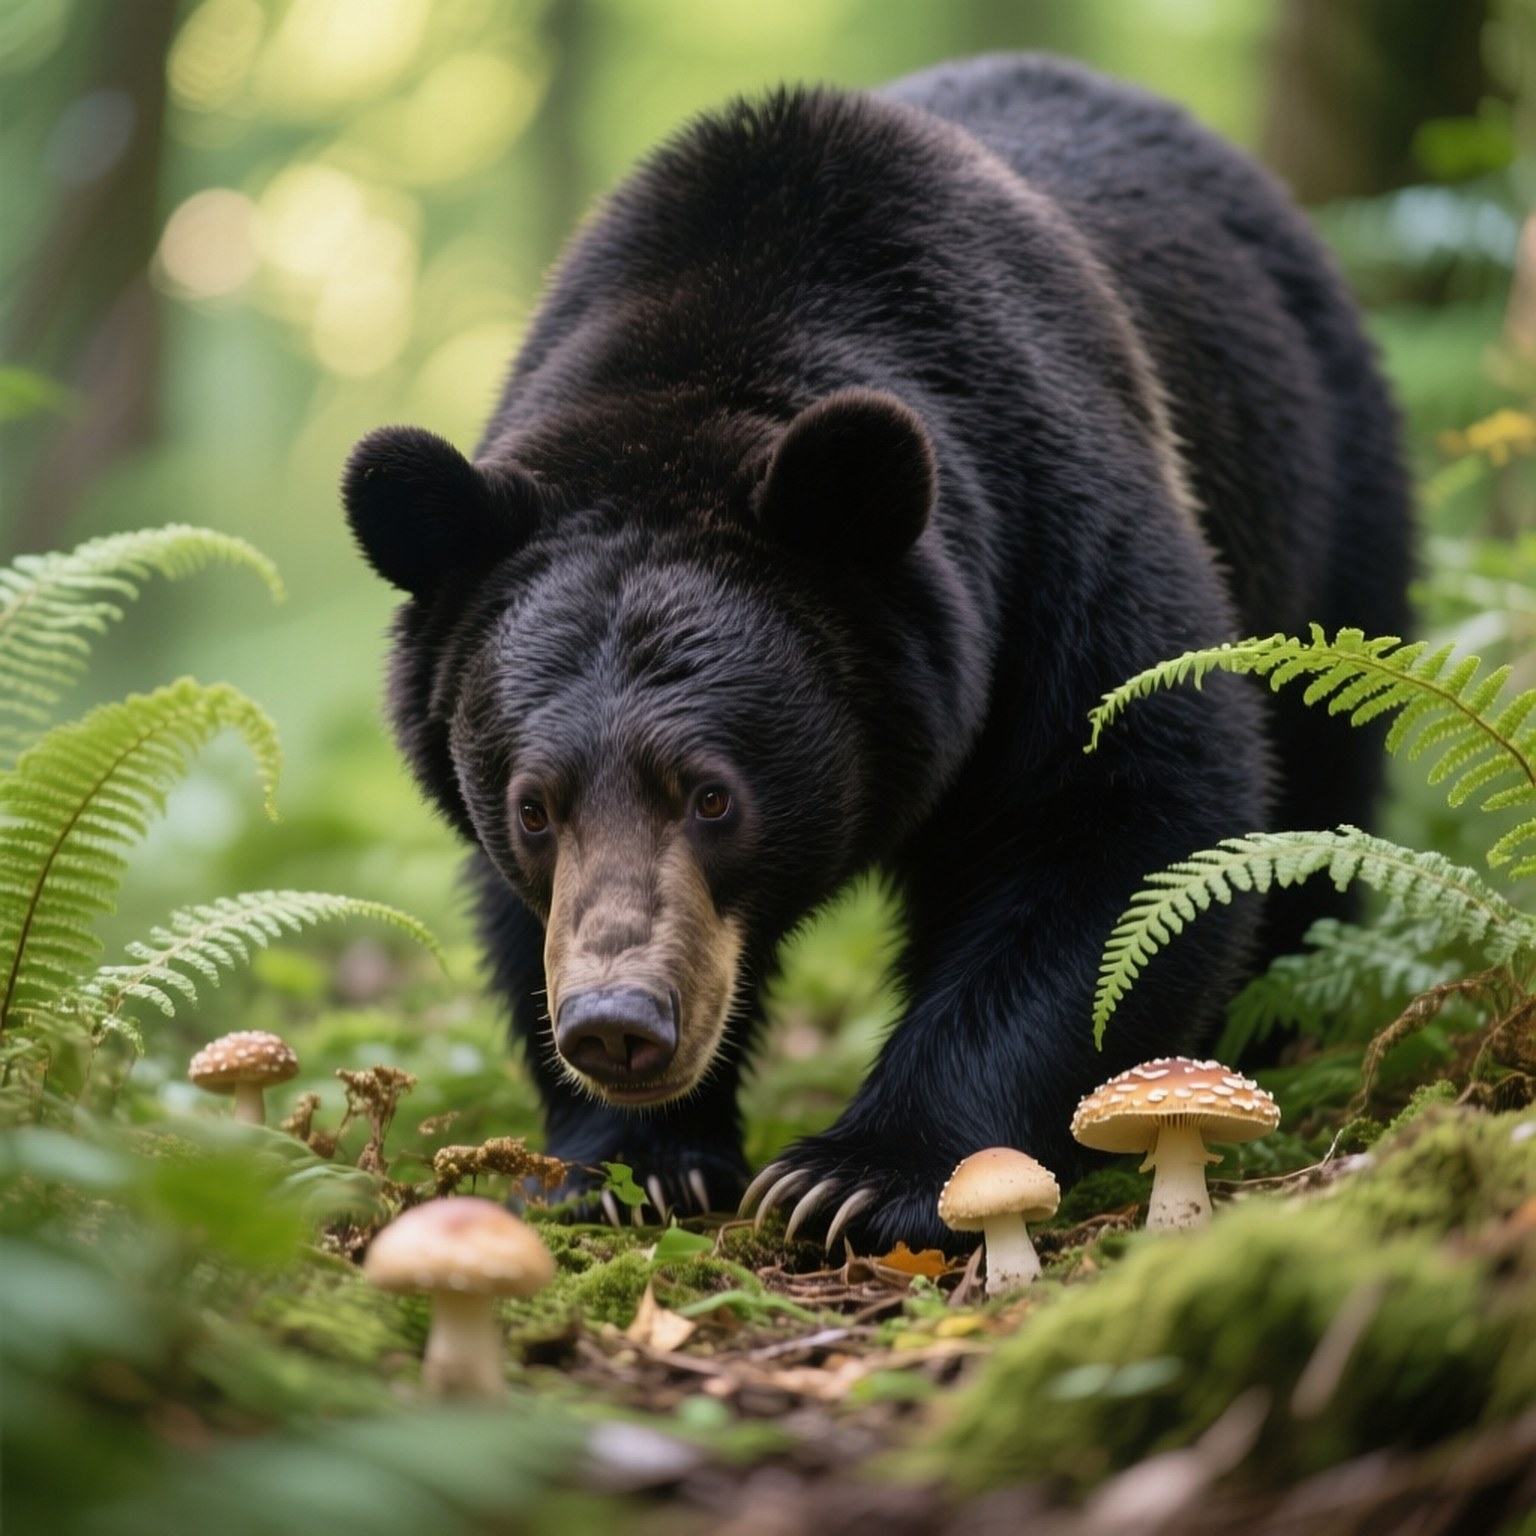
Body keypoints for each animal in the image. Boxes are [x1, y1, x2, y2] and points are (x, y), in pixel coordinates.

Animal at [343, 54, 1410, 1255]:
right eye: (533, 806)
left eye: (712, 795)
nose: (619, 1026)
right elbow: (521, 920)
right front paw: (634, 1163)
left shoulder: (1054, 539)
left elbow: (1129, 819)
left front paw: (856, 1173)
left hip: (1329, 510)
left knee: (1321, 789)